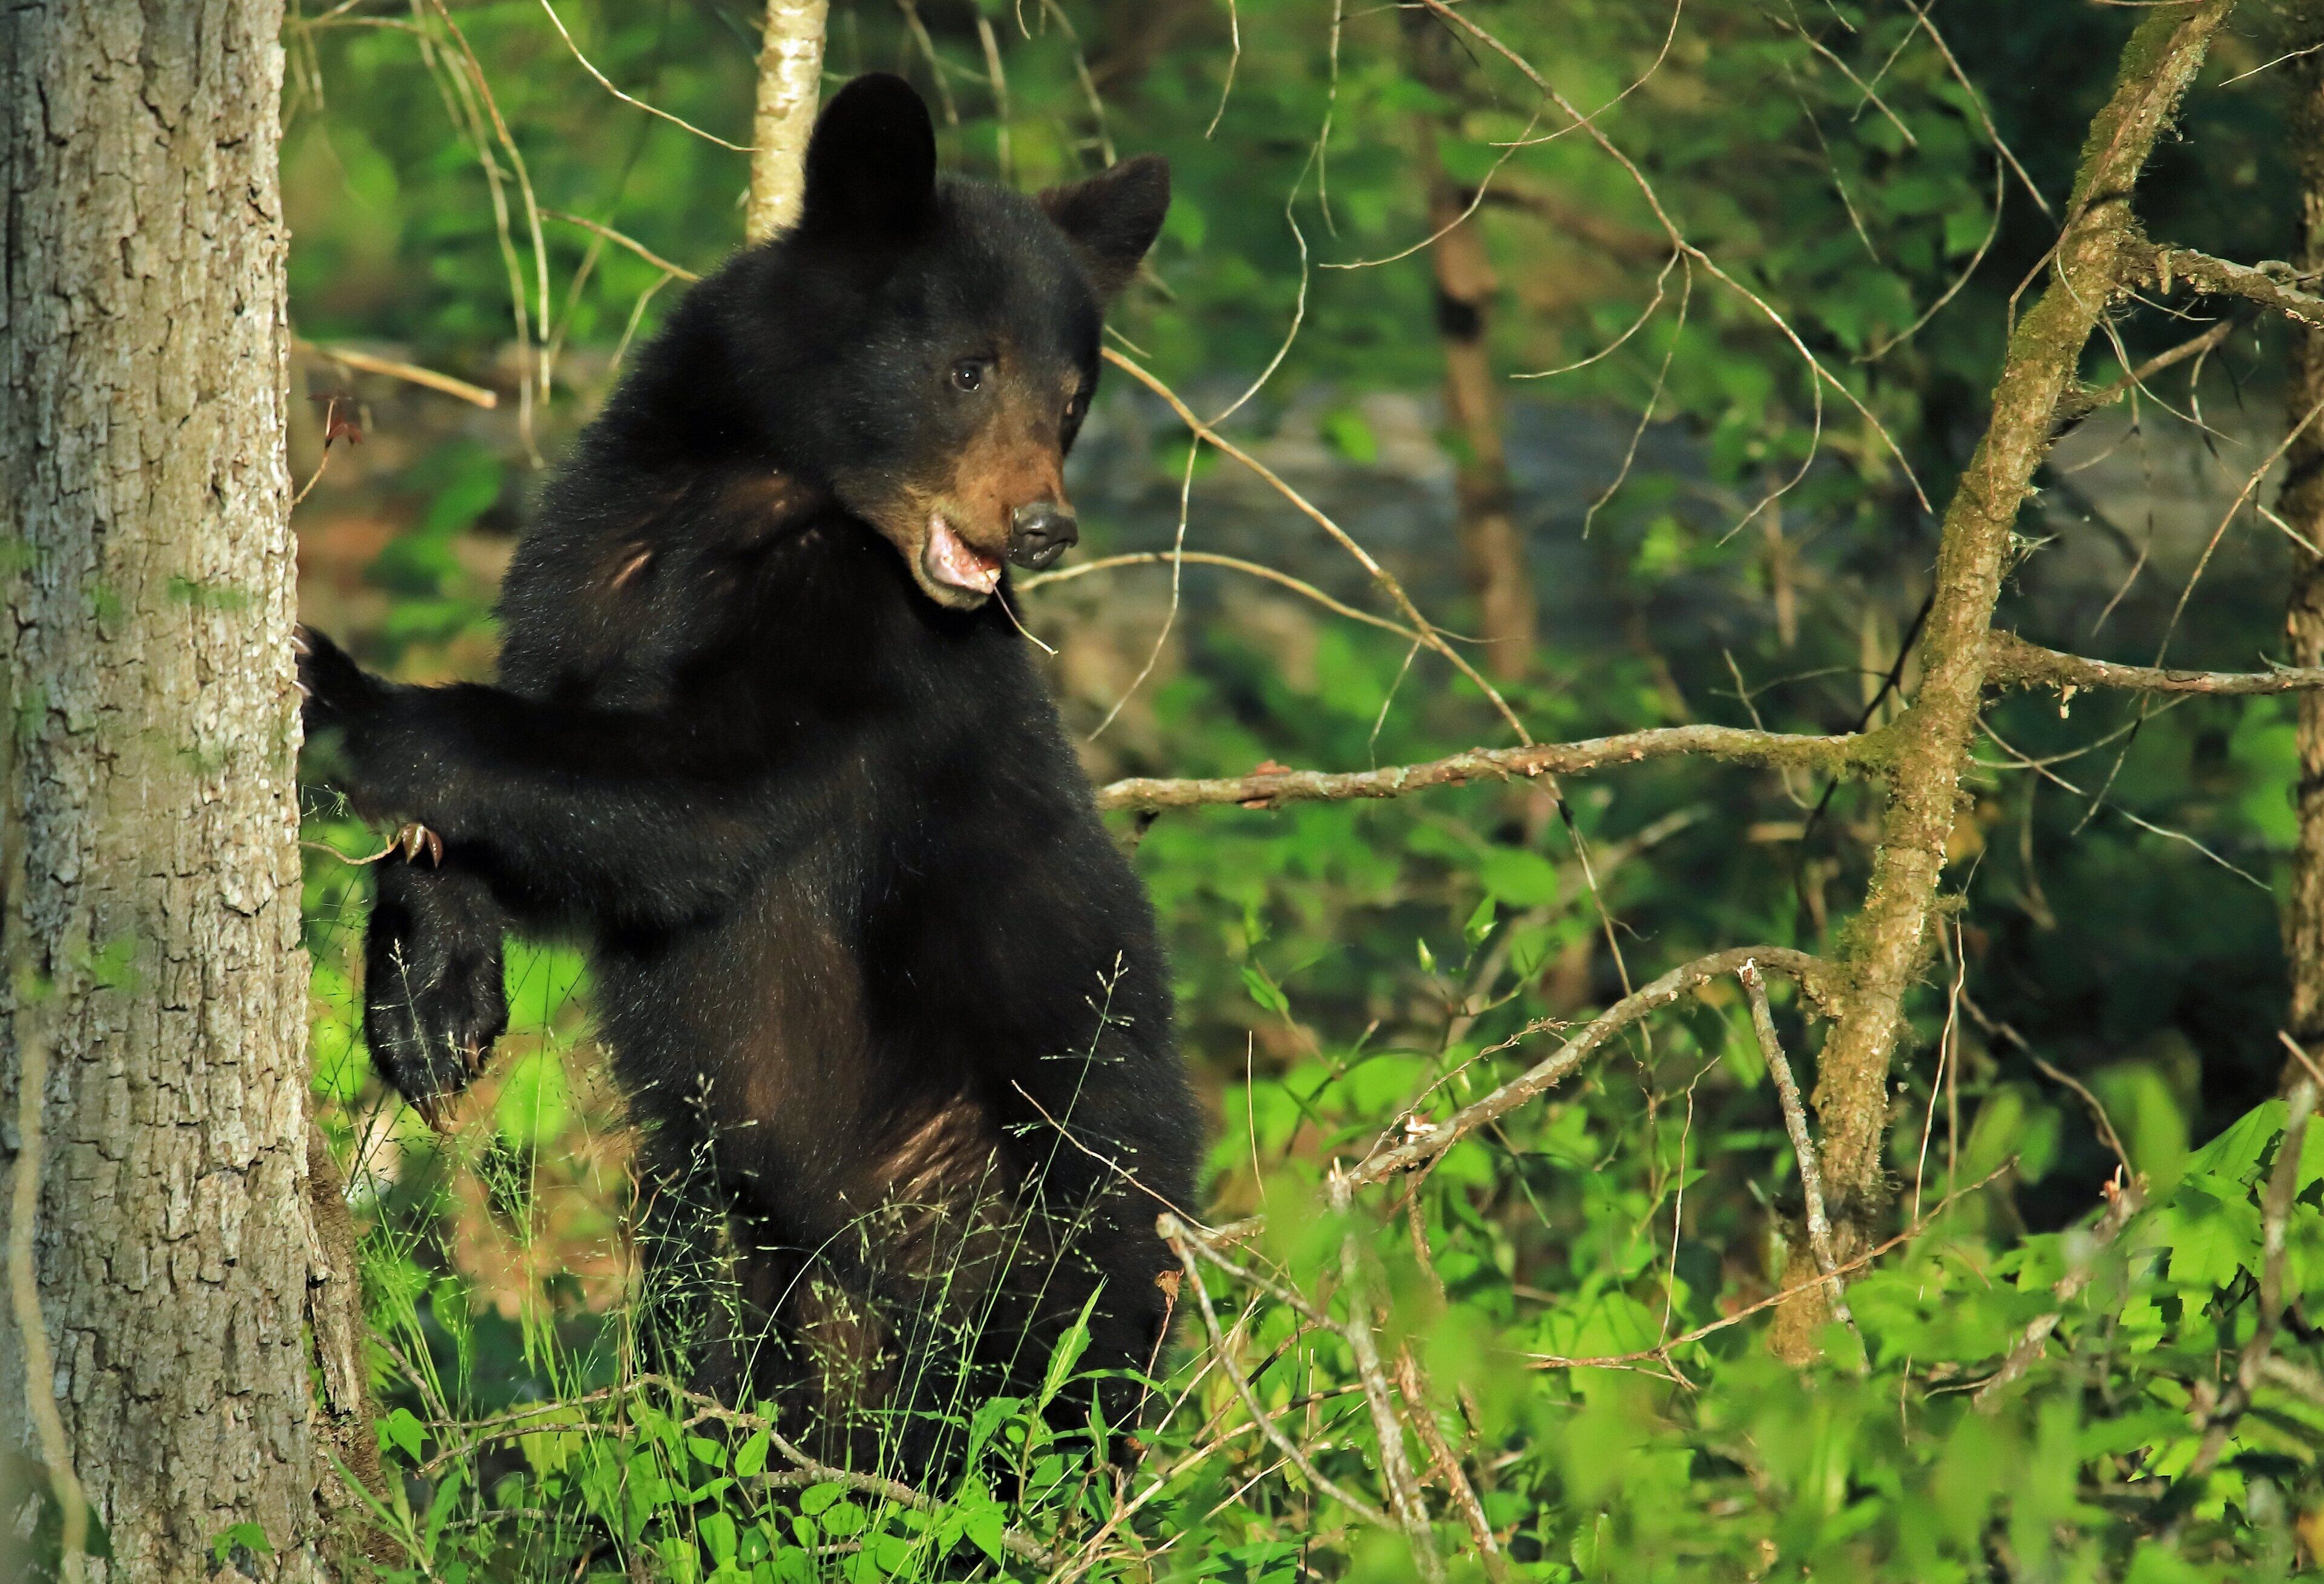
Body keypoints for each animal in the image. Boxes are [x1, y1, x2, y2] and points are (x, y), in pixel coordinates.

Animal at [298, 72, 1199, 1477]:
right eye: (967, 368)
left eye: (1072, 399)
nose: (1047, 525)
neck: (752, 498)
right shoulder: (585, 566)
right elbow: (557, 799)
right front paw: (430, 1002)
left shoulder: (864, 656)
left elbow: (684, 804)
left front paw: (341, 691)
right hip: (737, 1225)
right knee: (733, 1353)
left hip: (1041, 1219)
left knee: (1037, 1405)